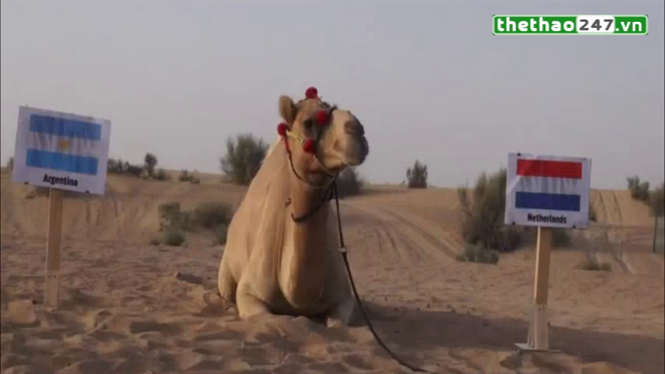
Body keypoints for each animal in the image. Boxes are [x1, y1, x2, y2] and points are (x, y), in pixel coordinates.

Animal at [217, 86, 368, 326]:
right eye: (308, 122)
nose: (358, 130)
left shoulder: (344, 298)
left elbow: (337, 323)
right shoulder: (249, 293)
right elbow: (268, 317)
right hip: (225, 272)